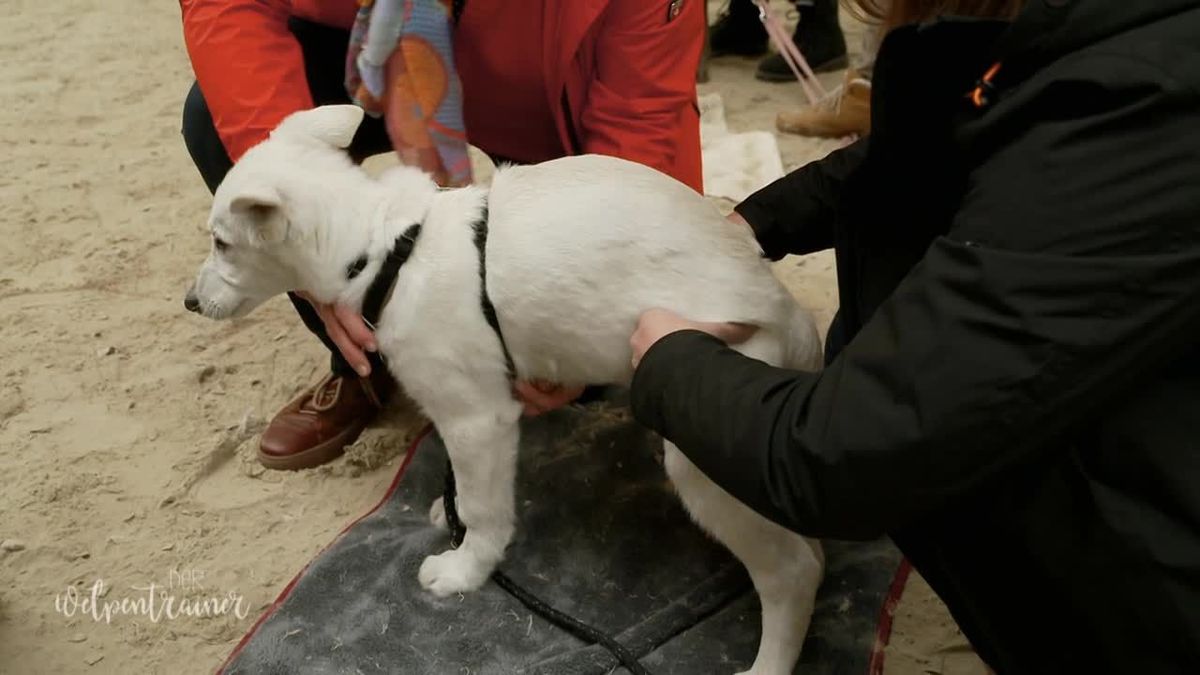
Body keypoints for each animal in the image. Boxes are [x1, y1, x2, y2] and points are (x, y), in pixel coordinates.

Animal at [187, 105, 825, 672]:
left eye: (222, 243)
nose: (190, 303)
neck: (385, 251)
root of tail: (790, 317)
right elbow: (468, 494)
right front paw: (449, 519)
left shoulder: (477, 419)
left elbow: (482, 506)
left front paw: (463, 570)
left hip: (705, 459)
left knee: (794, 572)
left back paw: (768, 664)